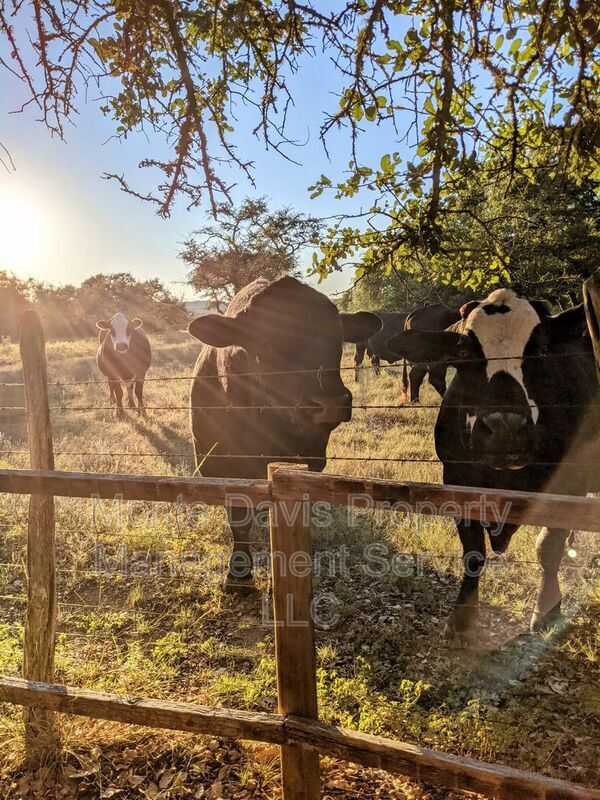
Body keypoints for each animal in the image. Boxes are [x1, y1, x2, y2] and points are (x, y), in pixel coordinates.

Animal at [188, 278, 380, 592]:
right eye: (265, 342)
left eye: (337, 336)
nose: (330, 402)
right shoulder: (219, 462)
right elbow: (238, 518)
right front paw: (238, 572)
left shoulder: (312, 457)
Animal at [386, 288, 596, 644]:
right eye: (463, 351)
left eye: (541, 349)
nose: (504, 427)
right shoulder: (458, 478)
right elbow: (473, 552)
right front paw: (461, 618)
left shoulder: (569, 481)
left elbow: (548, 548)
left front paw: (546, 609)